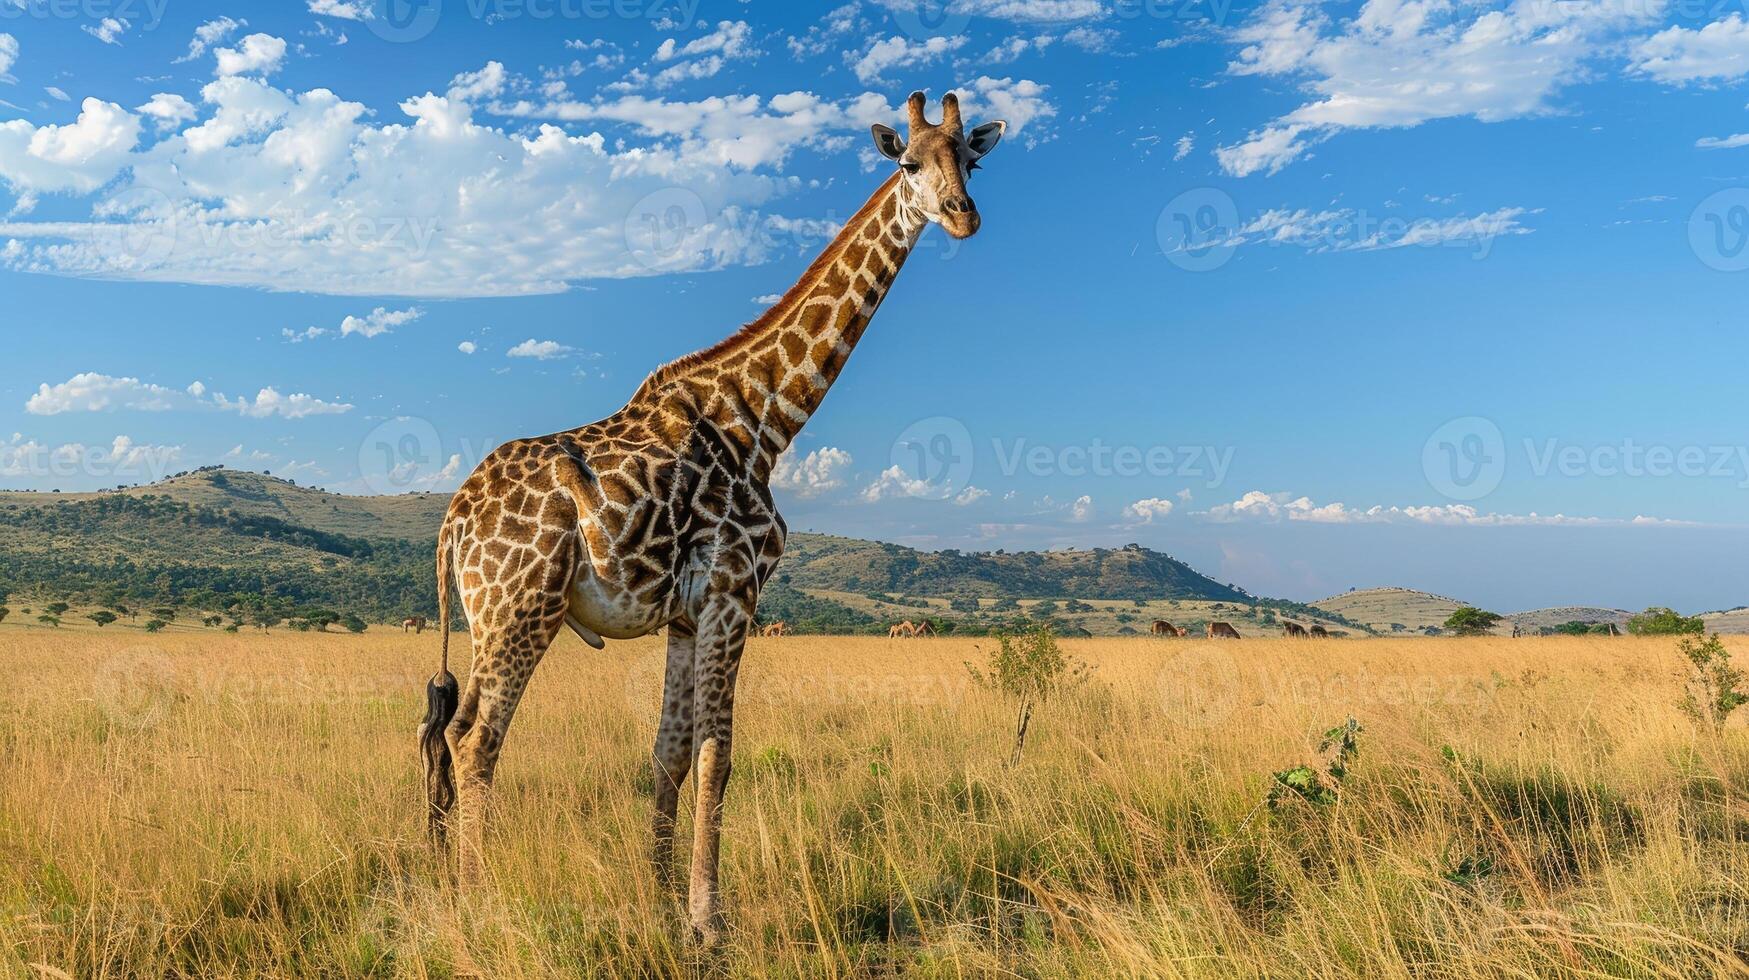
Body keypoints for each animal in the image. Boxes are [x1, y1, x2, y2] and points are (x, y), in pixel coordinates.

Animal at [414, 91, 1007, 945]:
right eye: (907, 164)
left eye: (972, 159)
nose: (963, 217)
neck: (764, 417)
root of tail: (453, 523)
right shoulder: (735, 589)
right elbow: (717, 756)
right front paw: (709, 921)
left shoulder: (685, 614)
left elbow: (667, 753)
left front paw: (661, 900)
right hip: (519, 609)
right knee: (473, 740)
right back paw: (477, 906)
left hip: (491, 616)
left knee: (446, 736)